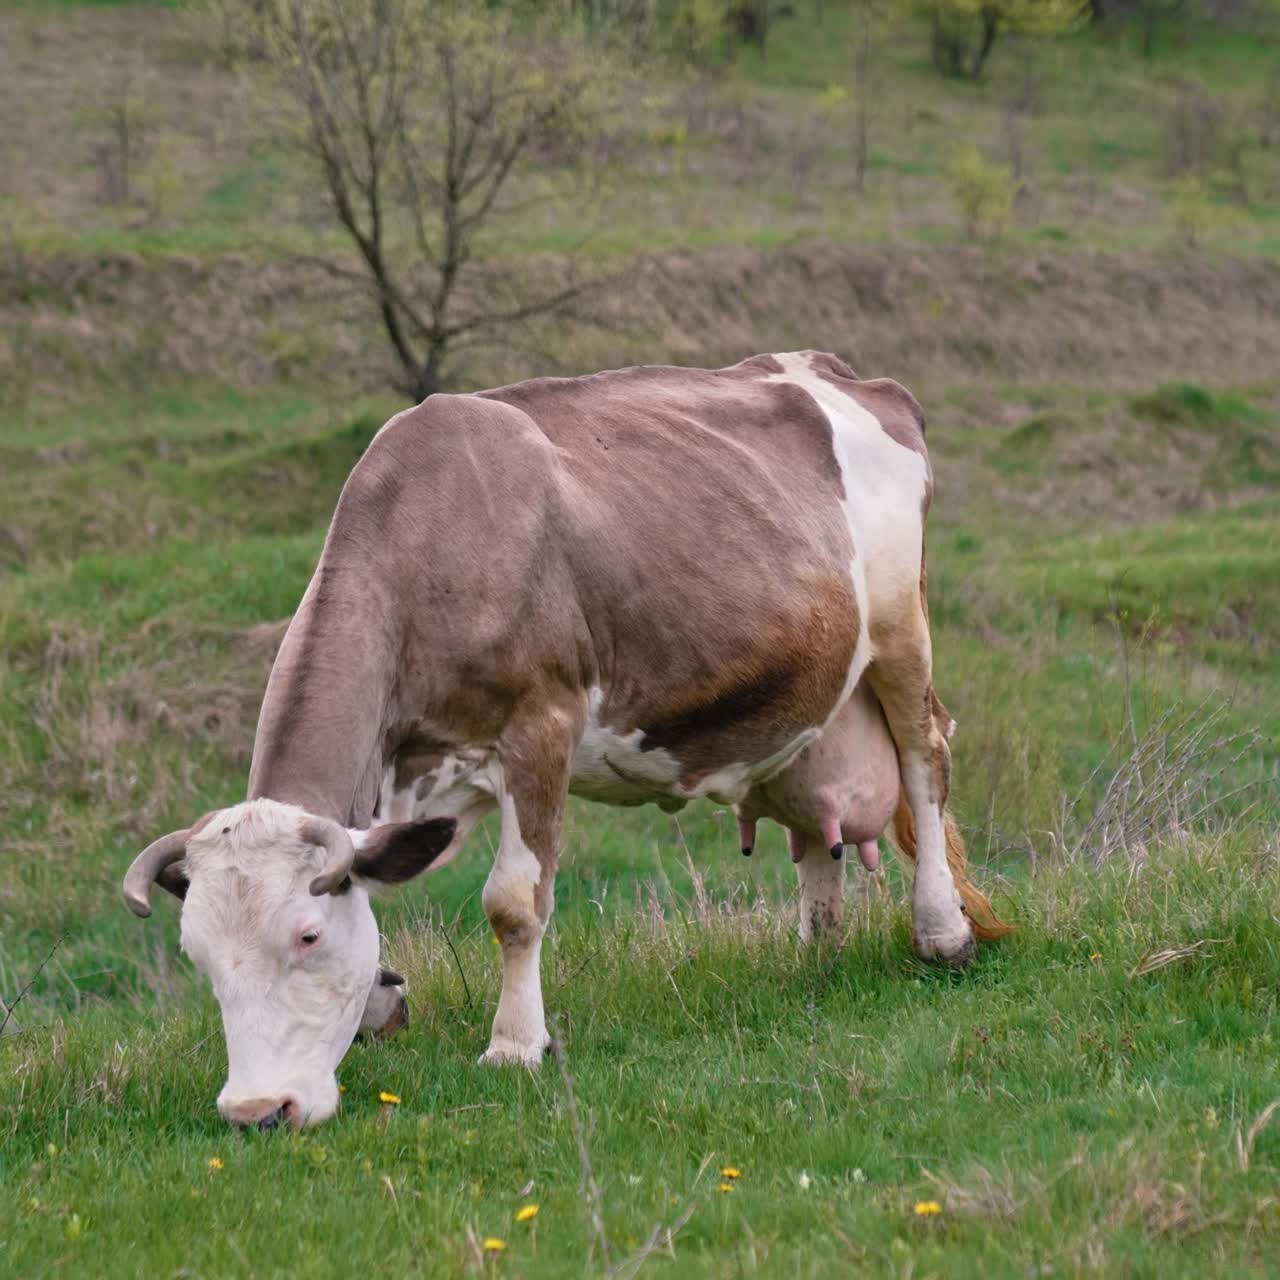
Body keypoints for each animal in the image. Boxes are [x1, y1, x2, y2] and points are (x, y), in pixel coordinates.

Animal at [123, 351, 1012, 1130]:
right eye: (199, 955)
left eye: (305, 937)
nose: (255, 1112)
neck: (432, 536)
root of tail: (839, 372)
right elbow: (376, 882)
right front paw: (381, 1000)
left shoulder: (539, 726)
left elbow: (514, 904)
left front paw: (515, 1045)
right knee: (815, 825)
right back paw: (816, 954)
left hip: (901, 632)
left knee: (926, 760)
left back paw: (942, 931)